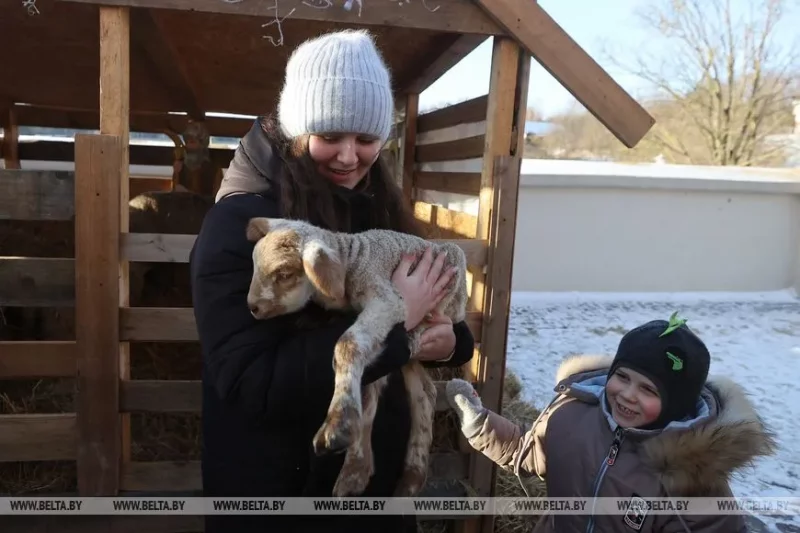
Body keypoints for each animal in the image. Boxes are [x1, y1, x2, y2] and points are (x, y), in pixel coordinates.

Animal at [244, 215, 468, 494]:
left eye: (283, 274)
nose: (252, 307)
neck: (353, 259)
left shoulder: (388, 300)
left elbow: (347, 344)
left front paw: (335, 429)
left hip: (446, 299)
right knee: (422, 391)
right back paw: (391, 476)